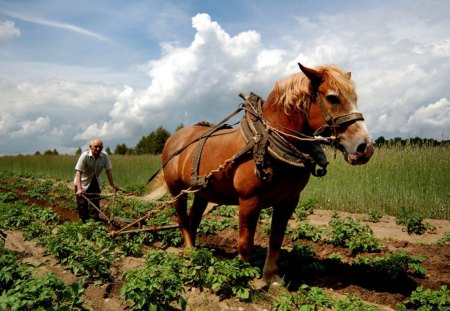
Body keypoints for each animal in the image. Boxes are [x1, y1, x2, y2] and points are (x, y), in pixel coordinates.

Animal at [160, 62, 374, 286]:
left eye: (355, 98)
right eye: (333, 97)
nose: (365, 147)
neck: (268, 141)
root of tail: (174, 139)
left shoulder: (288, 201)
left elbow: (276, 239)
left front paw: (272, 276)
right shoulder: (249, 201)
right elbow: (245, 242)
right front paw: (242, 276)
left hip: (202, 192)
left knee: (194, 219)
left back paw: (195, 249)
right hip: (176, 191)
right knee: (182, 220)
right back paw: (189, 254)